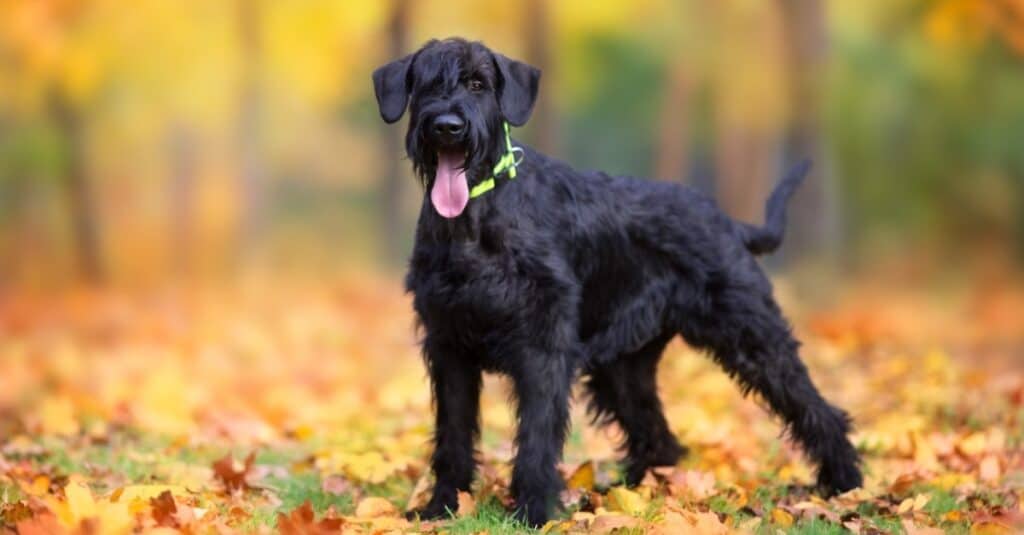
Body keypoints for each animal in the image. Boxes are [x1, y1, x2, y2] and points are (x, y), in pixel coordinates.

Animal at [372, 37, 860, 524]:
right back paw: (634, 495)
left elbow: (536, 435)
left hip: (753, 336)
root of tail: (729, 223)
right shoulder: (449, 346)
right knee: (658, 436)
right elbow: (452, 433)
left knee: (816, 408)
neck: (474, 220)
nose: (447, 127)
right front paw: (441, 507)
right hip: (622, 368)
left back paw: (845, 485)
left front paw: (533, 512)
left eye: (477, 83)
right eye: (426, 83)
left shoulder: (542, 348)